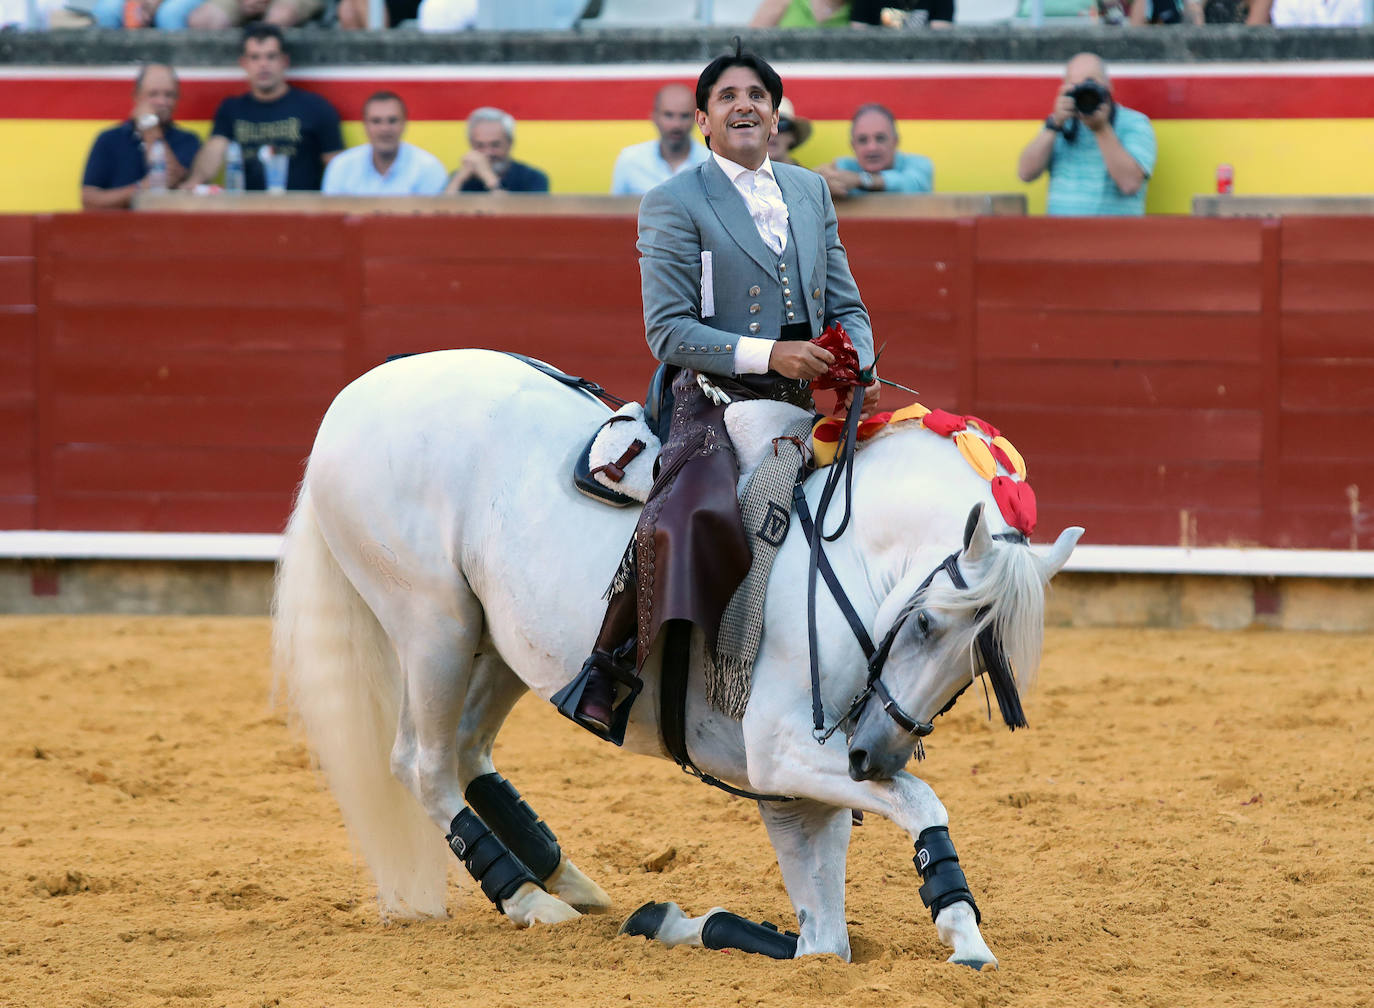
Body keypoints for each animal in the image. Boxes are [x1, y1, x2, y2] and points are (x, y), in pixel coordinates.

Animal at [270, 348, 1082, 972]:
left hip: (501, 640)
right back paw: (529, 898)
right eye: (922, 623)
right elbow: (918, 803)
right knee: (422, 762)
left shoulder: (795, 783)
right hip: (432, 623)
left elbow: (822, 942)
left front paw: (676, 920)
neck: (842, 552)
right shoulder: (779, 751)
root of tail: (356, 395)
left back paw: (567, 877)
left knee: (468, 749)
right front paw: (964, 936)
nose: (871, 756)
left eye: (977, 671)